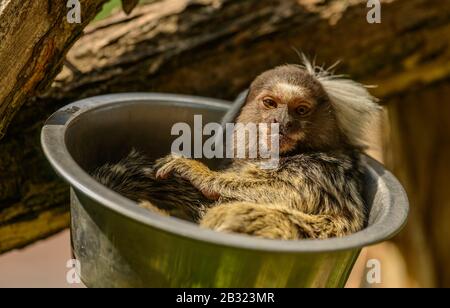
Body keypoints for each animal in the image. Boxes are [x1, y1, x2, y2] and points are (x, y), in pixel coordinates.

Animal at [94, 57, 380, 241]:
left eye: (300, 110)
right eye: (270, 103)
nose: (281, 122)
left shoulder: (320, 172)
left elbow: (287, 193)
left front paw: (201, 175)